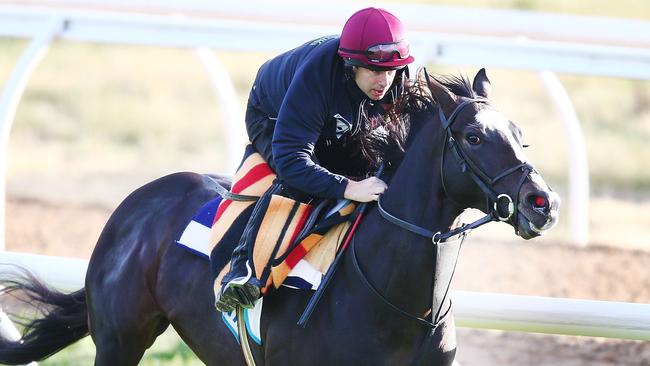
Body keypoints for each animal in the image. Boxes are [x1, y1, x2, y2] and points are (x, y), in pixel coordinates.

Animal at [0, 69, 556, 366]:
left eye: (521, 134)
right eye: (474, 137)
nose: (542, 202)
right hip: (119, 339)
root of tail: (136, 203)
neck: (399, 305)